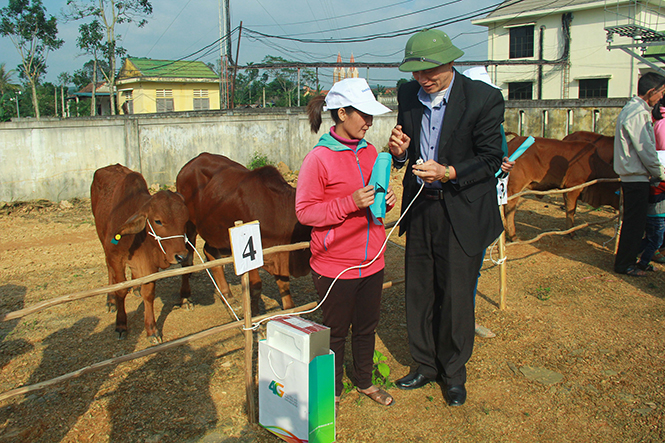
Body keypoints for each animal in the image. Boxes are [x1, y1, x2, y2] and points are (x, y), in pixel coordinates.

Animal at [91, 166, 189, 344]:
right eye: (158, 221)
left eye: (185, 220)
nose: (182, 256)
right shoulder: (115, 257)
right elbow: (121, 290)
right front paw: (121, 324)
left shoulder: (148, 264)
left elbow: (148, 293)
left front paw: (152, 330)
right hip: (102, 240)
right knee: (109, 269)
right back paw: (110, 300)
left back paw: (135, 287)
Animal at [175, 154, 312, 314]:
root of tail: (189, 164)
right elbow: (256, 286)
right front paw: (255, 315)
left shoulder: (280, 253)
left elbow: (284, 285)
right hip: (189, 225)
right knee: (187, 259)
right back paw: (185, 298)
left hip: (216, 231)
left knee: (209, 252)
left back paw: (228, 296)